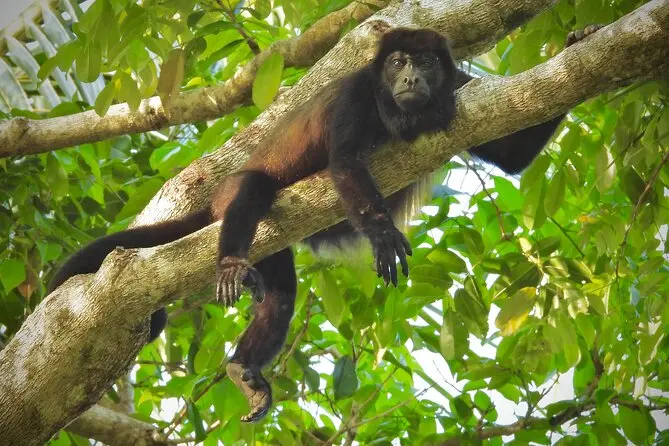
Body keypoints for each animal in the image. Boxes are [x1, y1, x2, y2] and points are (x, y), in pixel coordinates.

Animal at [49, 26, 601, 422]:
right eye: (397, 63)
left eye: (424, 63)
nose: (410, 80)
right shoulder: (358, 92)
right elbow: (345, 162)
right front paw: (382, 234)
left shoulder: (461, 86)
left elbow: (511, 156)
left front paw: (579, 44)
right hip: (232, 200)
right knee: (251, 192)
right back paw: (230, 261)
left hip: (274, 248)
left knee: (281, 296)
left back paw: (243, 367)